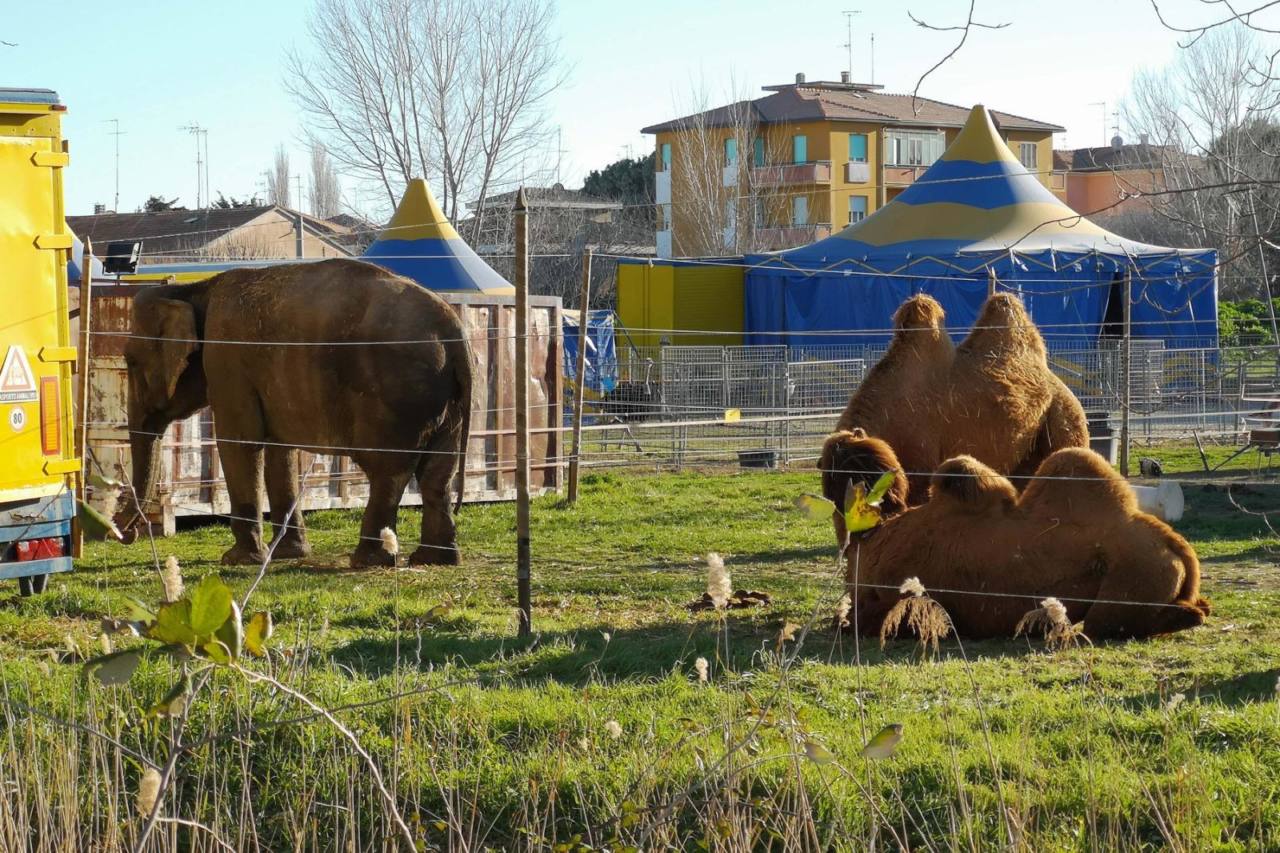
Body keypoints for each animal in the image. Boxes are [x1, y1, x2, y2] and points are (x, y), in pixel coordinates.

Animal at [116, 256, 471, 568]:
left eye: (130, 362)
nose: (130, 533)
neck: (193, 290)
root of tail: (453, 330)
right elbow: (280, 449)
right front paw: (287, 554)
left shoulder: (227, 360)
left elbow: (238, 442)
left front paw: (238, 559)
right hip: (443, 397)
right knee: (438, 472)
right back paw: (434, 560)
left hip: (396, 391)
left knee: (389, 472)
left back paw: (368, 560)